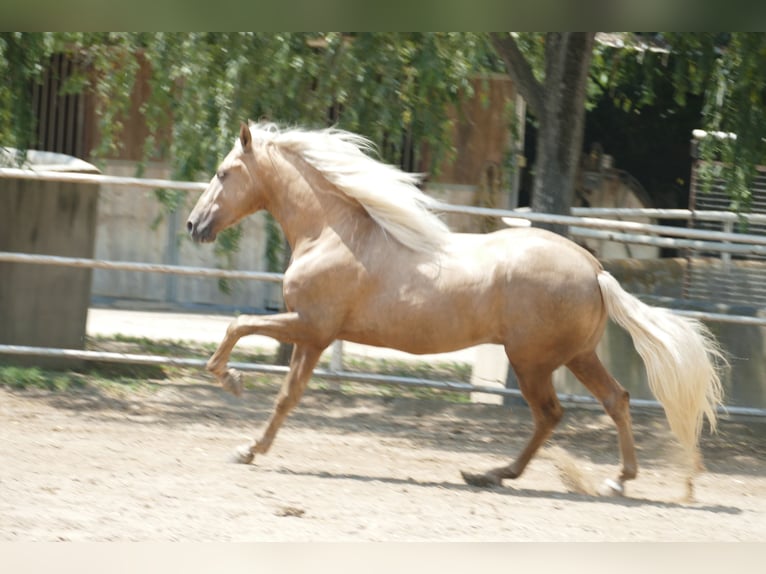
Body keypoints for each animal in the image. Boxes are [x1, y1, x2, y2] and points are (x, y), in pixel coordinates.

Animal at [188, 122, 728, 500]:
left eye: (222, 173)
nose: (195, 225)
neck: (331, 233)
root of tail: (595, 269)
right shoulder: (315, 337)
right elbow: (287, 394)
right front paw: (249, 443)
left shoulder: (310, 327)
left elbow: (241, 330)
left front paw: (231, 390)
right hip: (576, 356)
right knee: (614, 400)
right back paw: (593, 480)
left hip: (533, 361)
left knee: (552, 413)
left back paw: (500, 474)